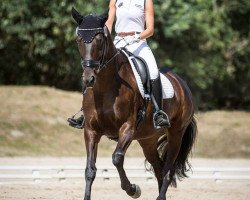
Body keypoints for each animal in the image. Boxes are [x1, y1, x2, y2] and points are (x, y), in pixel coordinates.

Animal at [71, 7, 198, 200]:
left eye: (99, 39)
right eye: (78, 39)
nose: (88, 79)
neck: (105, 87)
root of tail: (182, 84)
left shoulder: (128, 127)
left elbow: (116, 158)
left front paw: (132, 189)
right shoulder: (91, 130)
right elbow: (90, 170)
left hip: (176, 134)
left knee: (167, 170)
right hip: (148, 140)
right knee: (159, 168)